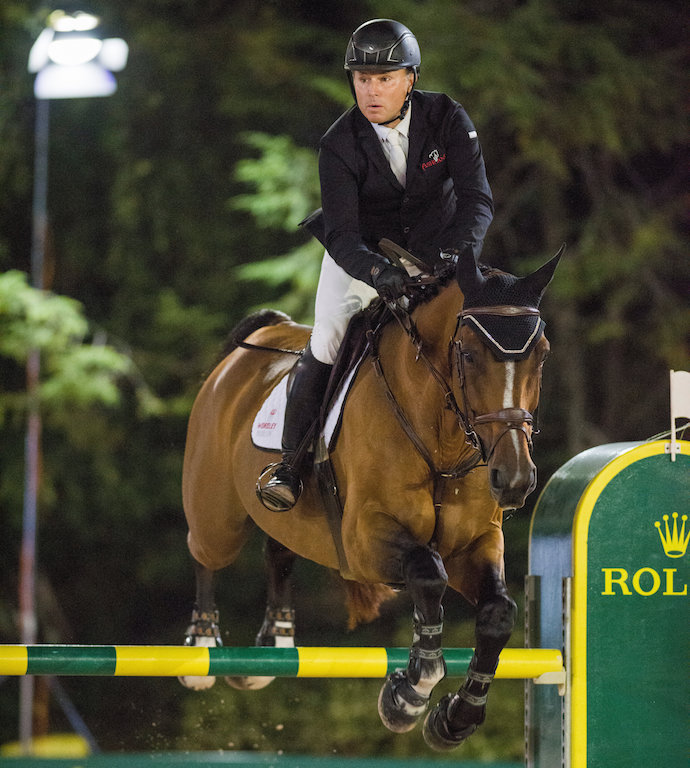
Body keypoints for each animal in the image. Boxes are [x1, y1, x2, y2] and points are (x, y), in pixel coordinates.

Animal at [180, 248, 560, 752]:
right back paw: (202, 647)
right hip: (217, 516)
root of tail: (254, 342)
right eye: (468, 354)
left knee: (278, 548)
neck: (441, 439)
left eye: (542, 355)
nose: (514, 478)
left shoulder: (474, 545)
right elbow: (427, 573)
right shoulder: (365, 542)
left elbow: (498, 612)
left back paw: (276, 641)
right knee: (206, 551)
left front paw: (454, 717)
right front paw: (409, 694)